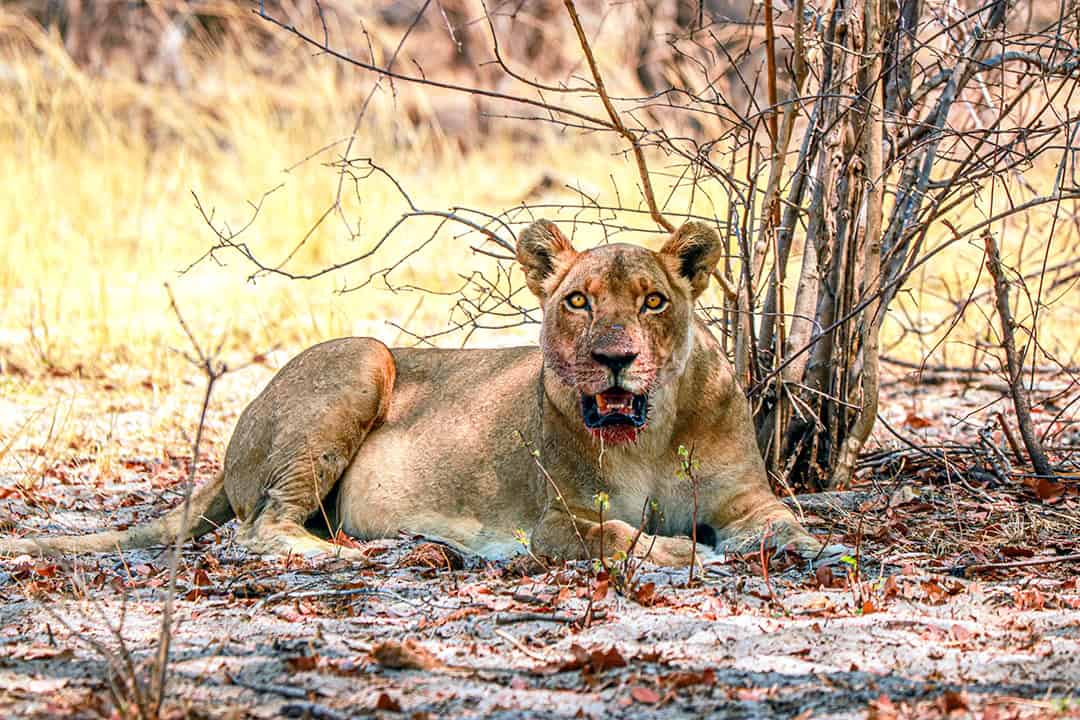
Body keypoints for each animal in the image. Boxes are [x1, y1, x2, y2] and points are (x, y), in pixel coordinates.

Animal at [1, 220, 831, 567]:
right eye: (579, 301)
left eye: (654, 302)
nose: (616, 358)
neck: (650, 436)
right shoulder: (557, 521)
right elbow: (620, 536)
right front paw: (676, 548)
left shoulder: (743, 500)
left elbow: (785, 522)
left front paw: (819, 549)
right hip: (364, 357)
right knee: (261, 528)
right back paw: (347, 554)